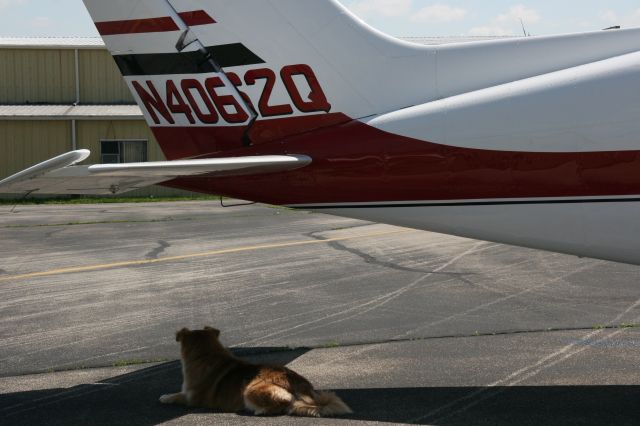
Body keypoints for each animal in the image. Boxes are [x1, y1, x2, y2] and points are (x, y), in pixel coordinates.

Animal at [158, 328, 352, 418]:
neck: (206, 354)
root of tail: (299, 383)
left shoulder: (191, 397)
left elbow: (176, 396)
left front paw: (165, 397)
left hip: (249, 390)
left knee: (285, 402)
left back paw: (261, 410)